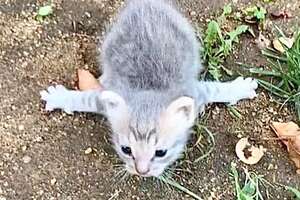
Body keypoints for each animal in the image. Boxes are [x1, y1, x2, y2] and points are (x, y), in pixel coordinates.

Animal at [40, 0, 258, 177]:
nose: (141, 171)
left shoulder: (194, 92)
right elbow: (86, 99)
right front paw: (60, 97)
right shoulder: (110, 93)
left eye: (161, 152)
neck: (149, 89)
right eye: (126, 149)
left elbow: (214, 90)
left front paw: (240, 87)